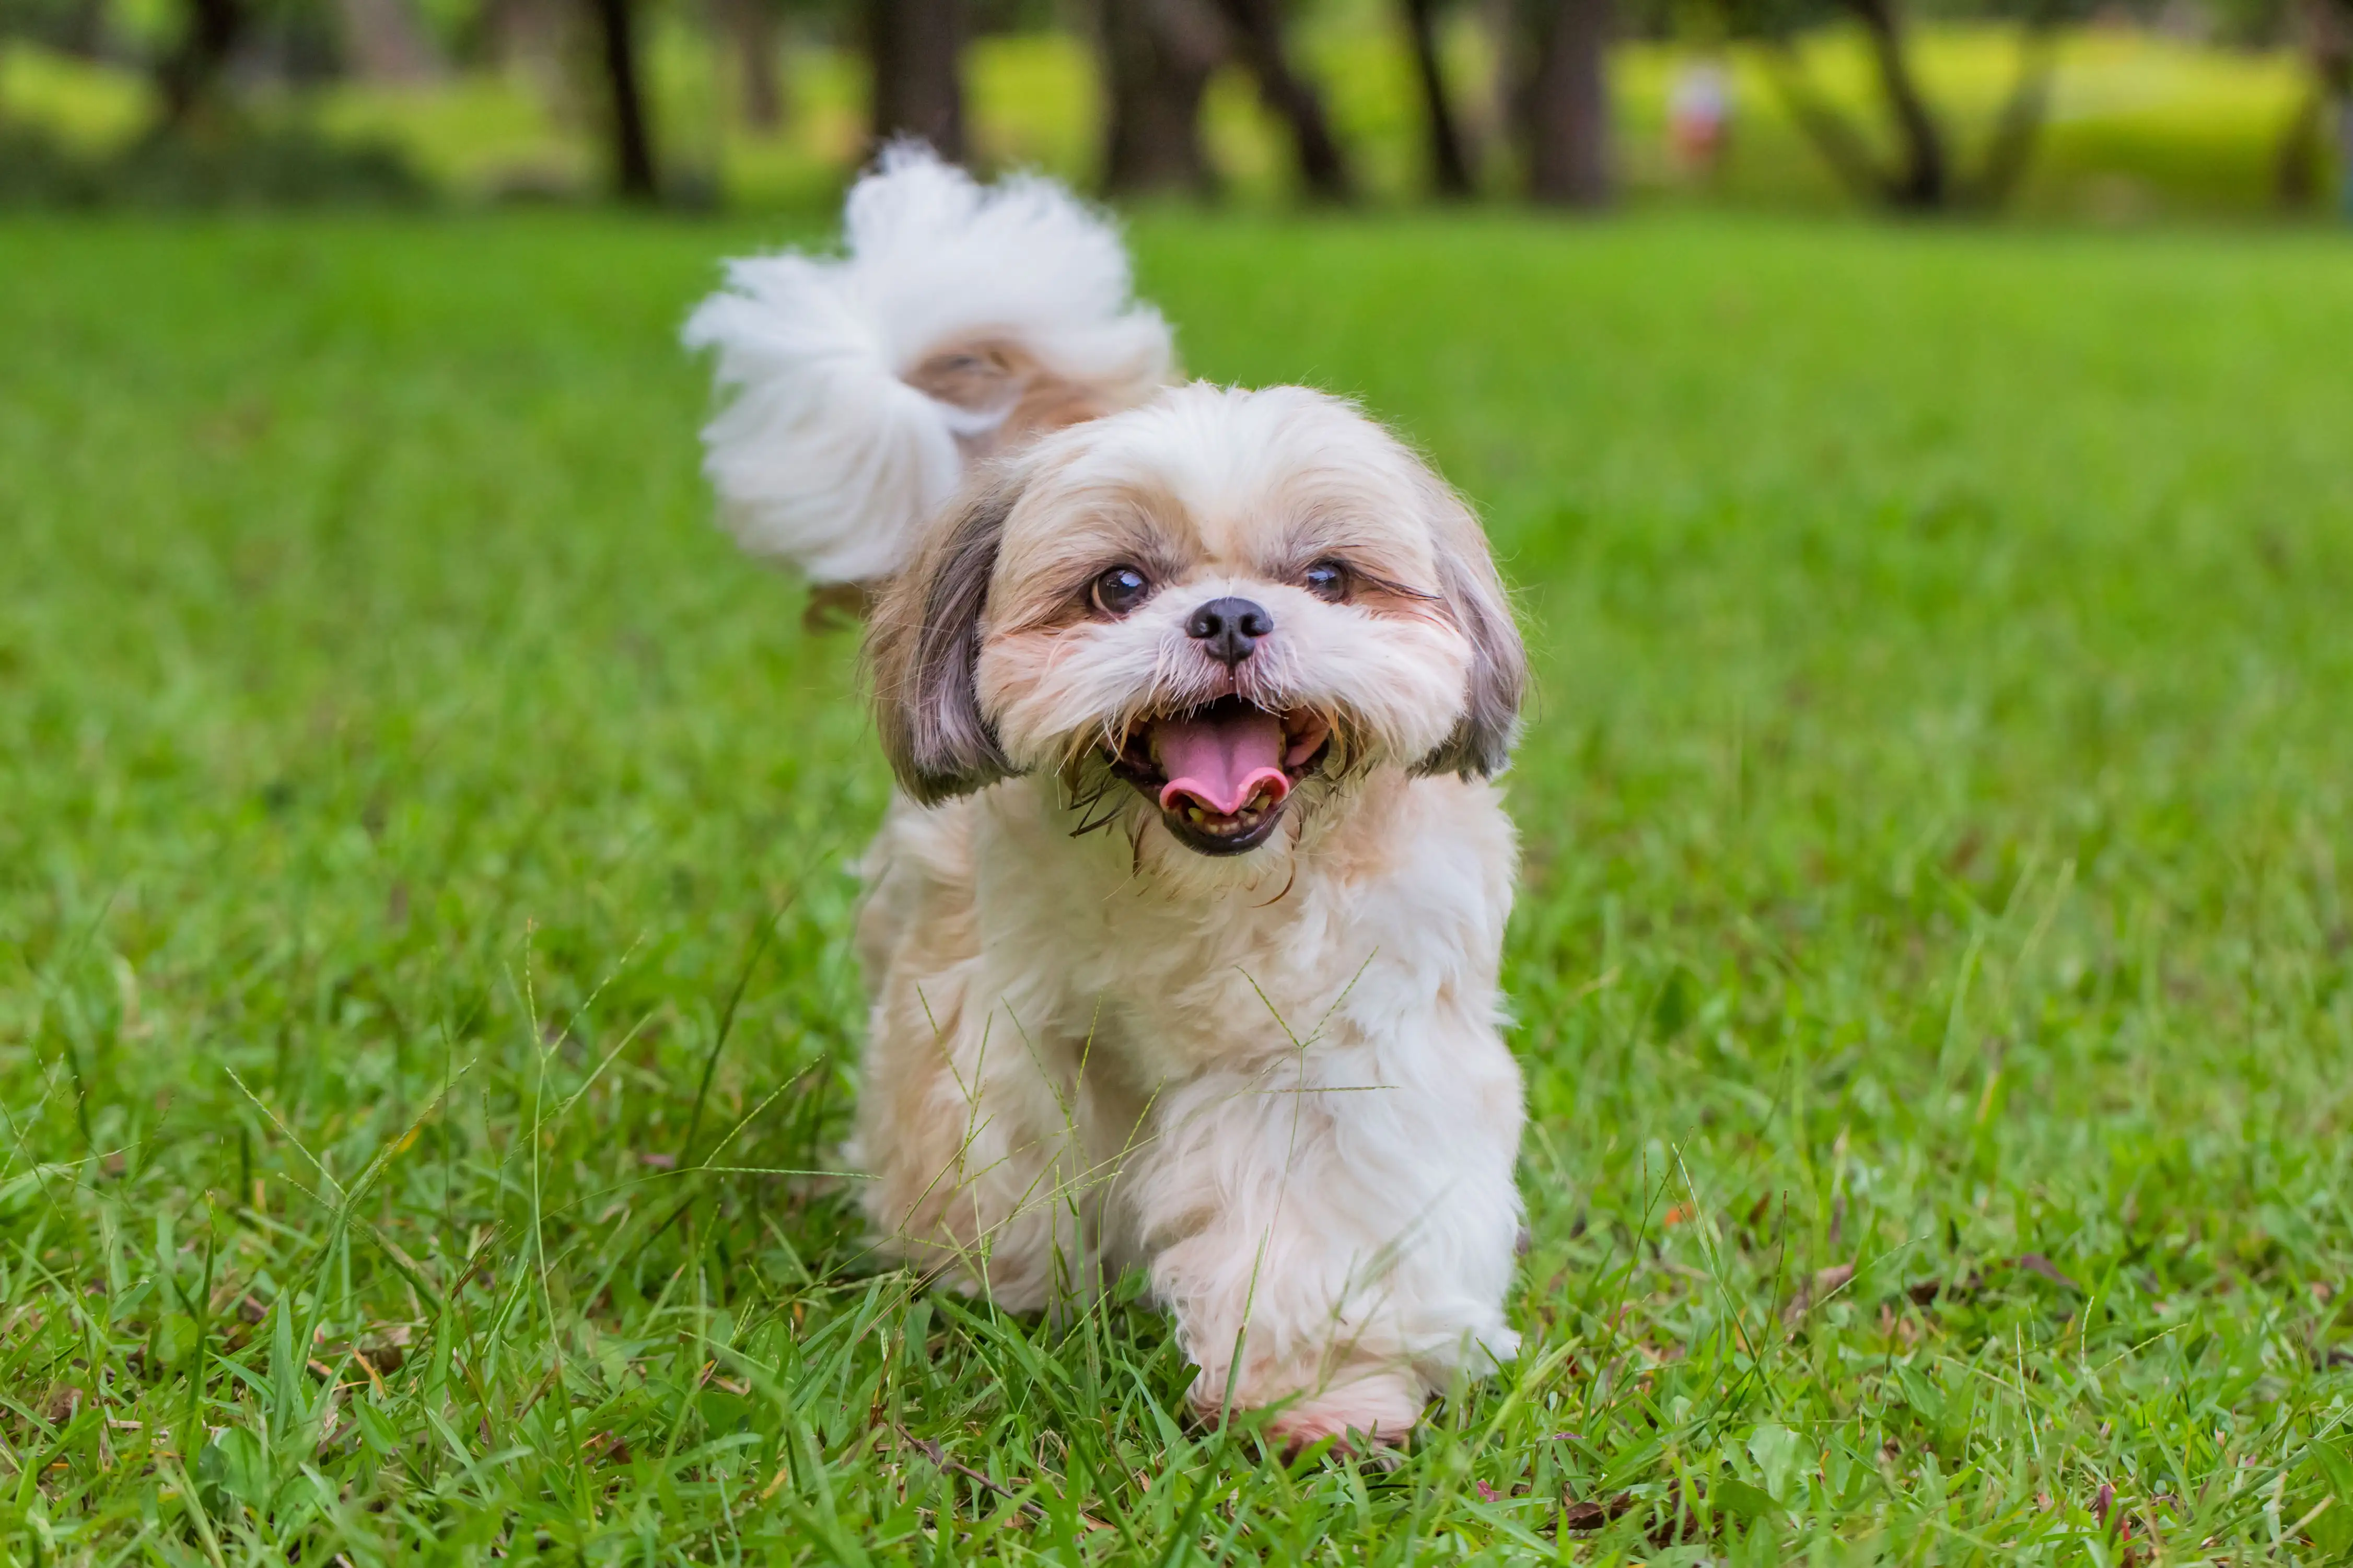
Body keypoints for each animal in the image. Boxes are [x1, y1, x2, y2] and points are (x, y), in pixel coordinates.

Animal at [682, 147, 1524, 1448]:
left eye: (1328, 576)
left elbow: (1318, 1227)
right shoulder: (1013, 1026)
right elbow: (1011, 1159)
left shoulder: (1341, 1062)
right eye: (1118, 586)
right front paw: (1005, 1292)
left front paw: (1319, 1396)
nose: (1227, 614)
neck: (1207, 887)